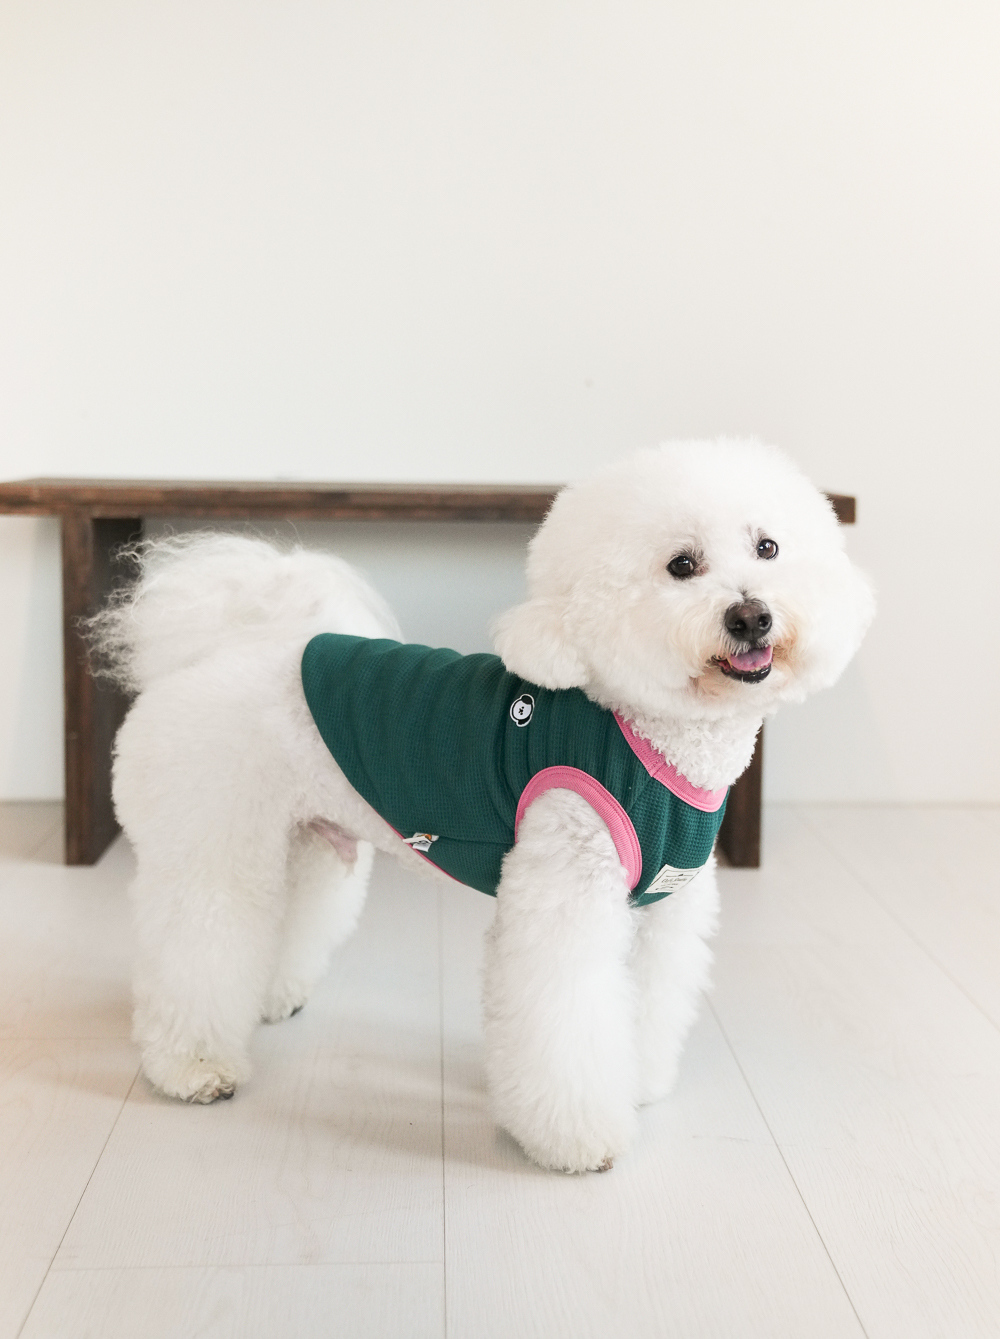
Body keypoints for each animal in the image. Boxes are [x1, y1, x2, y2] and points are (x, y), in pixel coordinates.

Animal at [91, 438, 874, 1173]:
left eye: (767, 547)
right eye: (681, 565)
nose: (752, 615)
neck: (645, 732)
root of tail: (210, 654)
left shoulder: (663, 910)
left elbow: (649, 1000)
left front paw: (640, 1080)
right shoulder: (563, 896)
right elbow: (563, 1020)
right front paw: (577, 1139)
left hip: (303, 838)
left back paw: (271, 998)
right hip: (212, 840)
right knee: (197, 943)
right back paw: (193, 1066)